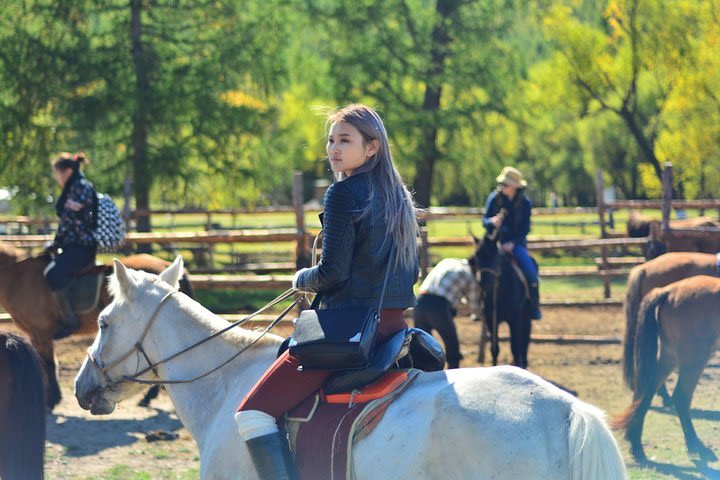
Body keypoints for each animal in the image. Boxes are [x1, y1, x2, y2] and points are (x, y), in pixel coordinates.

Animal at [612, 276, 720, 464]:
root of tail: (669, 290)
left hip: (669, 357)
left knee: (645, 393)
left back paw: (636, 445)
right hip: (694, 359)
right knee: (681, 397)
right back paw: (695, 445)